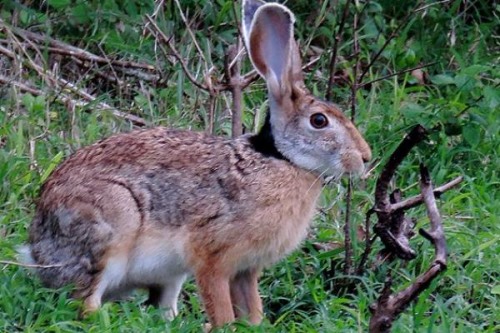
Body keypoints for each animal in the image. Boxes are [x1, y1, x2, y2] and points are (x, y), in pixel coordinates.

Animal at [24, 0, 372, 326]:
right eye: (319, 121)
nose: (366, 157)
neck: (281, 159)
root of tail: (38, 250)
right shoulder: (212, 255)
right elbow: (221, 306)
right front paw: (223, 325)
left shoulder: (246, 269)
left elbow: (251, 308)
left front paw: (253, 324)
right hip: (110, 226)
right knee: (86, 302)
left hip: (168, 275)